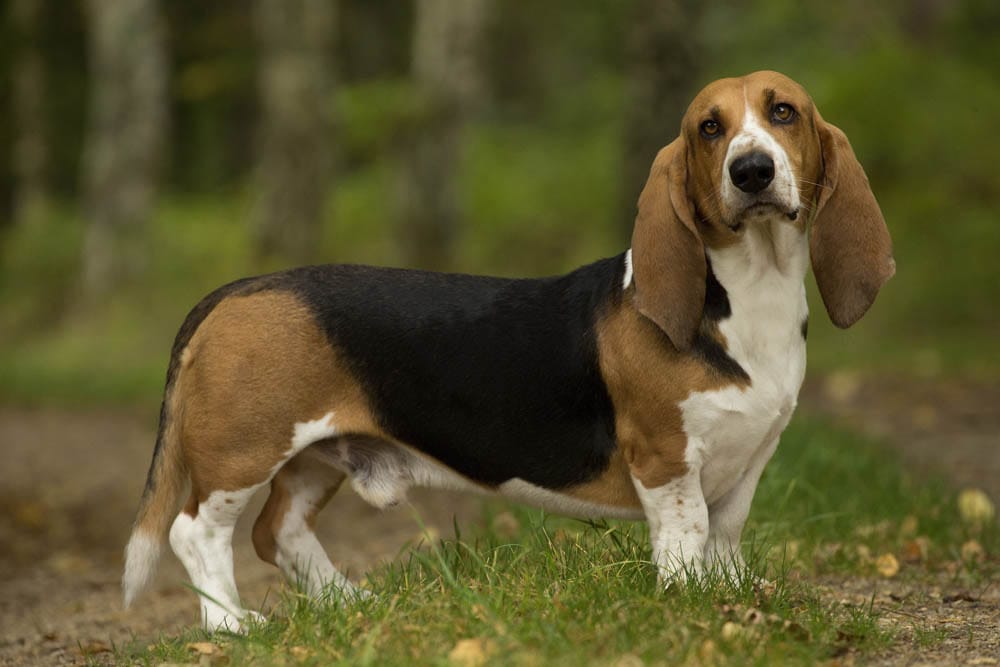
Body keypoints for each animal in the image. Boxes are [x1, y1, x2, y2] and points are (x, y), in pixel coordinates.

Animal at [121, 72, 896, 632]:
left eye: (784, 112)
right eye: (710, 127)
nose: (753, 170)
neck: (748, 297)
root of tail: (238, 289)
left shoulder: (750, 459)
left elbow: (726, 534)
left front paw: (732, 593)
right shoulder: (666, 458)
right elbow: (686, 533)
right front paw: (687, 600)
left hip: (316, 454)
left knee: (276, 531)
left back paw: (351, 603)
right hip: (246, 449)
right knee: (197, 532)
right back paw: (231, 626)